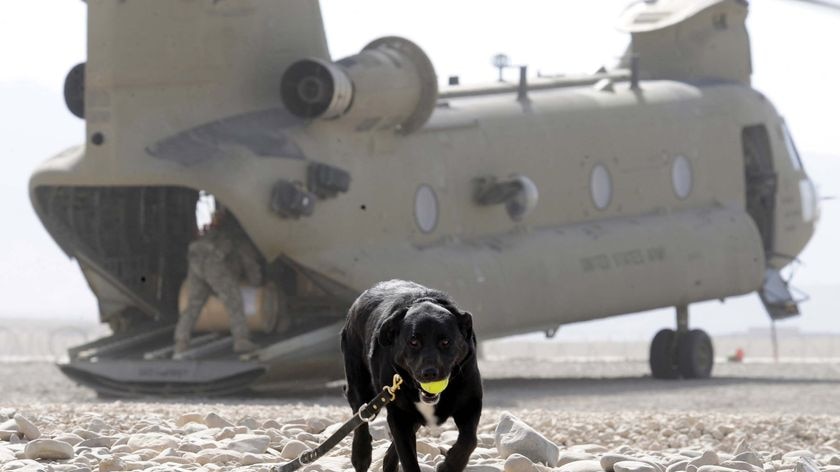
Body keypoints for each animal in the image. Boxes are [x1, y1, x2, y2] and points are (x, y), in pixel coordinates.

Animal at [342, 280, 482, 472]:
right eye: (413, 342)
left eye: (446, 342)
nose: (429, 373)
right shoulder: (399, 415)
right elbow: (407, 457)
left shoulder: (470, 404)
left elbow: (469, 440)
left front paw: (449, 465)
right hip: (361, 386)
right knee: (360, 414)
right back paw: (361, 454)